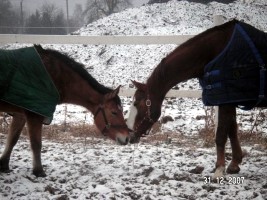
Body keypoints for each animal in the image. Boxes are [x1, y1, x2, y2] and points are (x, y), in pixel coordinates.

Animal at [0, 45, 130, 177]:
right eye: (114, 112)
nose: (127, 138)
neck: (54, 76)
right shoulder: (34, 115)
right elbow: (36, 144)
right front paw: (39, 171)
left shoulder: (20, 114)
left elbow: (12, 139)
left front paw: (4, 165)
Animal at [127, 20, 267, 179]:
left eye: (137, 103)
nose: (130, 136)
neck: (217, 53)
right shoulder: (229, 101)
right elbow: (232, 130)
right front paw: (234, 164)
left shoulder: (225, 102)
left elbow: (221, 135)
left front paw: (219, 170)